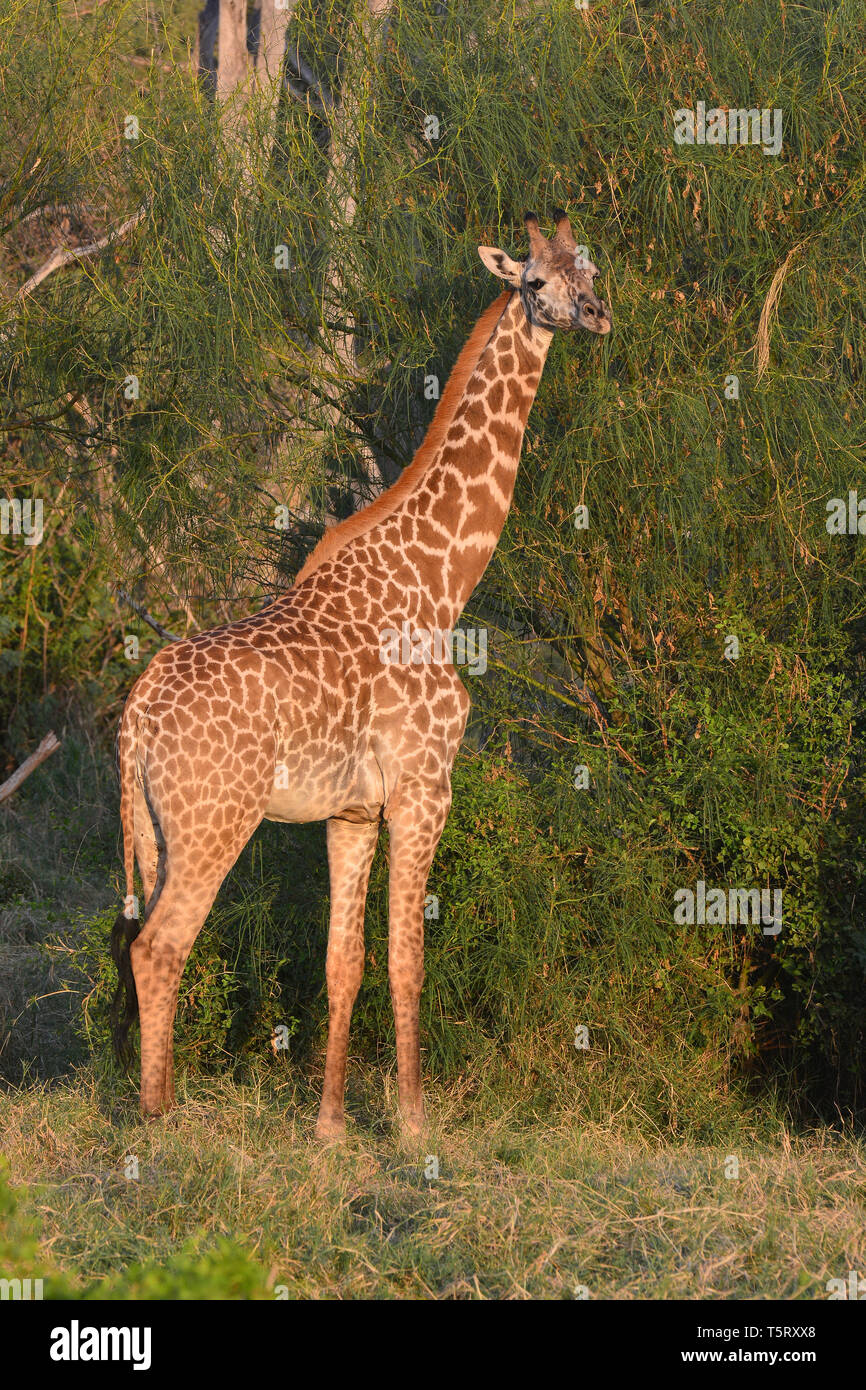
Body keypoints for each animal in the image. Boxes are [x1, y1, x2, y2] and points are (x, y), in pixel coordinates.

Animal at [109, 208, 608, 1139]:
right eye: (534, 282)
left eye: (591, 270)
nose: (593, 314)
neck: (442, 581)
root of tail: (136, 714)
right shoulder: (423, 785)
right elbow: (407, 958)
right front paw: (412, 1121)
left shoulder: (350, 811)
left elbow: (342, 964)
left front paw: (332, 1126)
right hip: (213, 821)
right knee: (160, 945)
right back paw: (158, 1120)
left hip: (151, 828)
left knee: (134, 938)